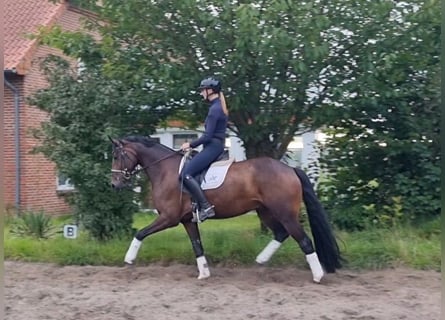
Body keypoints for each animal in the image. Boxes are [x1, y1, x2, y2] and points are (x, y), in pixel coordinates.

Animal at [110, 135, 340, 282]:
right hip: (265, 211)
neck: (166, 170)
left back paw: (317, 276)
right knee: (281, 234)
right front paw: (204, 274)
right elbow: (197, 246)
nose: (114, 184)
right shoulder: (187, 220)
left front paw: (128, 259)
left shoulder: (169, 218)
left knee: (304, 240)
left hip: (285, 214)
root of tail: (290, 169)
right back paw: (261, 259)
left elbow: (140, 233)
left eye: (116, 156)